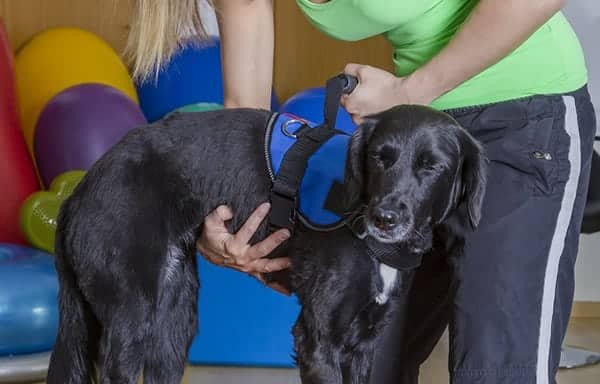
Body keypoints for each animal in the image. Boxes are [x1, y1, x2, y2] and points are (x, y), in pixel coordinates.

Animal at [47, 105, 488, 384]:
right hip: (131, 316)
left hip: (174, 319)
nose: (385, 218)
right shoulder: (317, 340)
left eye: (432, 167)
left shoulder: (364, 343)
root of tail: (79, 190)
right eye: (380, 157)